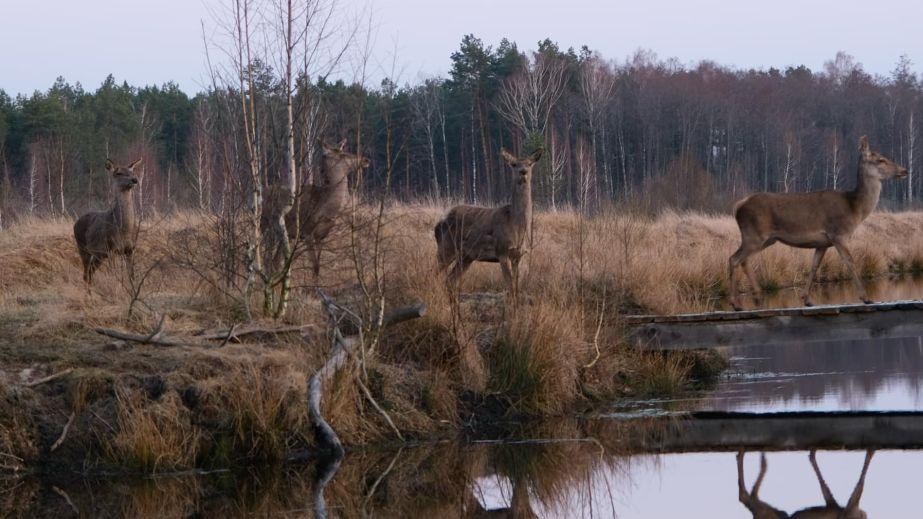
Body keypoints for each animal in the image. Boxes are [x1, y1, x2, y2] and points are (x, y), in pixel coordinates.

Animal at [434, 148, 540, 298]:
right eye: (514, 164)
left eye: (530, 164)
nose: (523, 172)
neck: (516, 227)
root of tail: (438, 225)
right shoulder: (502, 251)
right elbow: (510, 287)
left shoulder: (518, 255)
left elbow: (516, 288)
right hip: (446, 247)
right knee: (432, 273)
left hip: (466, 256)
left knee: (450, 280)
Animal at [728, 136, 908, 310]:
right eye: (881, 160)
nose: (904, 170)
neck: (854, 209)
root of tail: (738, 206)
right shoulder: (838, 234)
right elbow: (850, 262)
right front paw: (866, 298)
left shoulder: (822, 243)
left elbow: (814, 266)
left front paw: (806, 299)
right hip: (754, 234)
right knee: (734, 259)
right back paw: (737, 303)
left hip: (766, 239)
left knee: (743, 260)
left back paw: (755, 297)